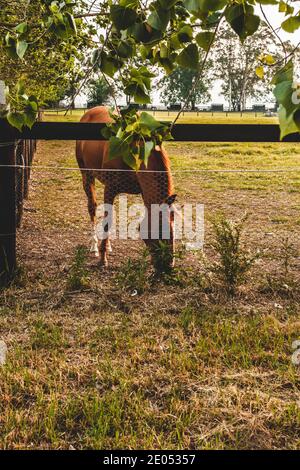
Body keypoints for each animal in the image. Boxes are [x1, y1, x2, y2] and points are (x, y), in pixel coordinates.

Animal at [75, 106, 176, 268]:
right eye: (159, 229)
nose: (168, 267)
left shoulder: (144, 191)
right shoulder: (109, 189)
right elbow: (107, 221)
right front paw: (102, 259)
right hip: (87, 175)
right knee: (92, 207)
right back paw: (94, 245)